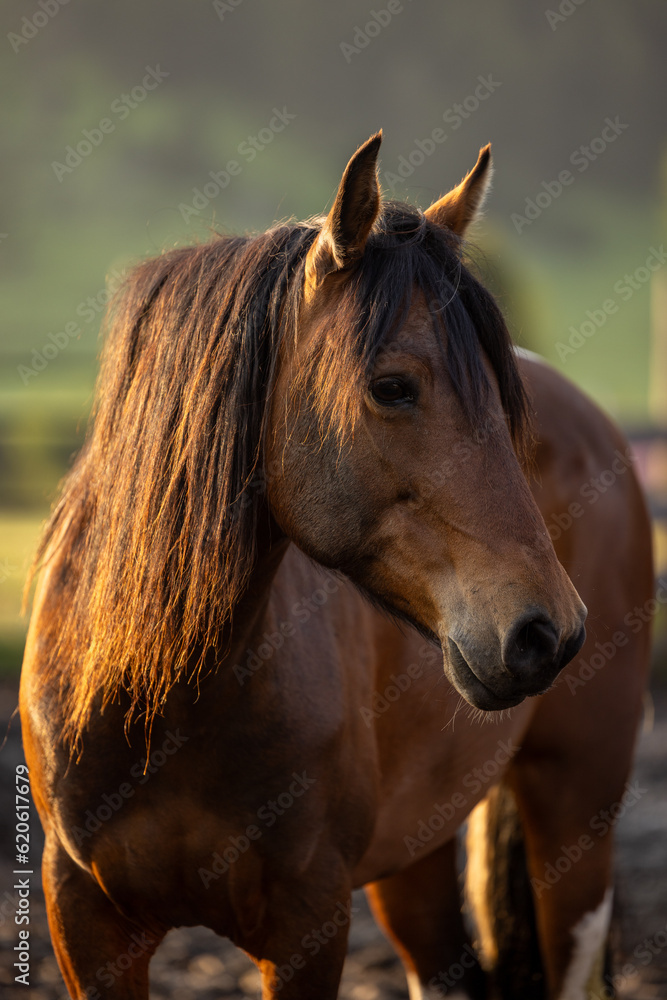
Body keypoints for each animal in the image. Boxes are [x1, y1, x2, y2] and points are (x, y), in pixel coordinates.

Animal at [20, 133, 654, 1000]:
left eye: (501, 399)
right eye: (391, 387)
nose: (546, 633)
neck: (157, 699)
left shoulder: (307, 926)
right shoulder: (85, 925)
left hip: (575, 818)